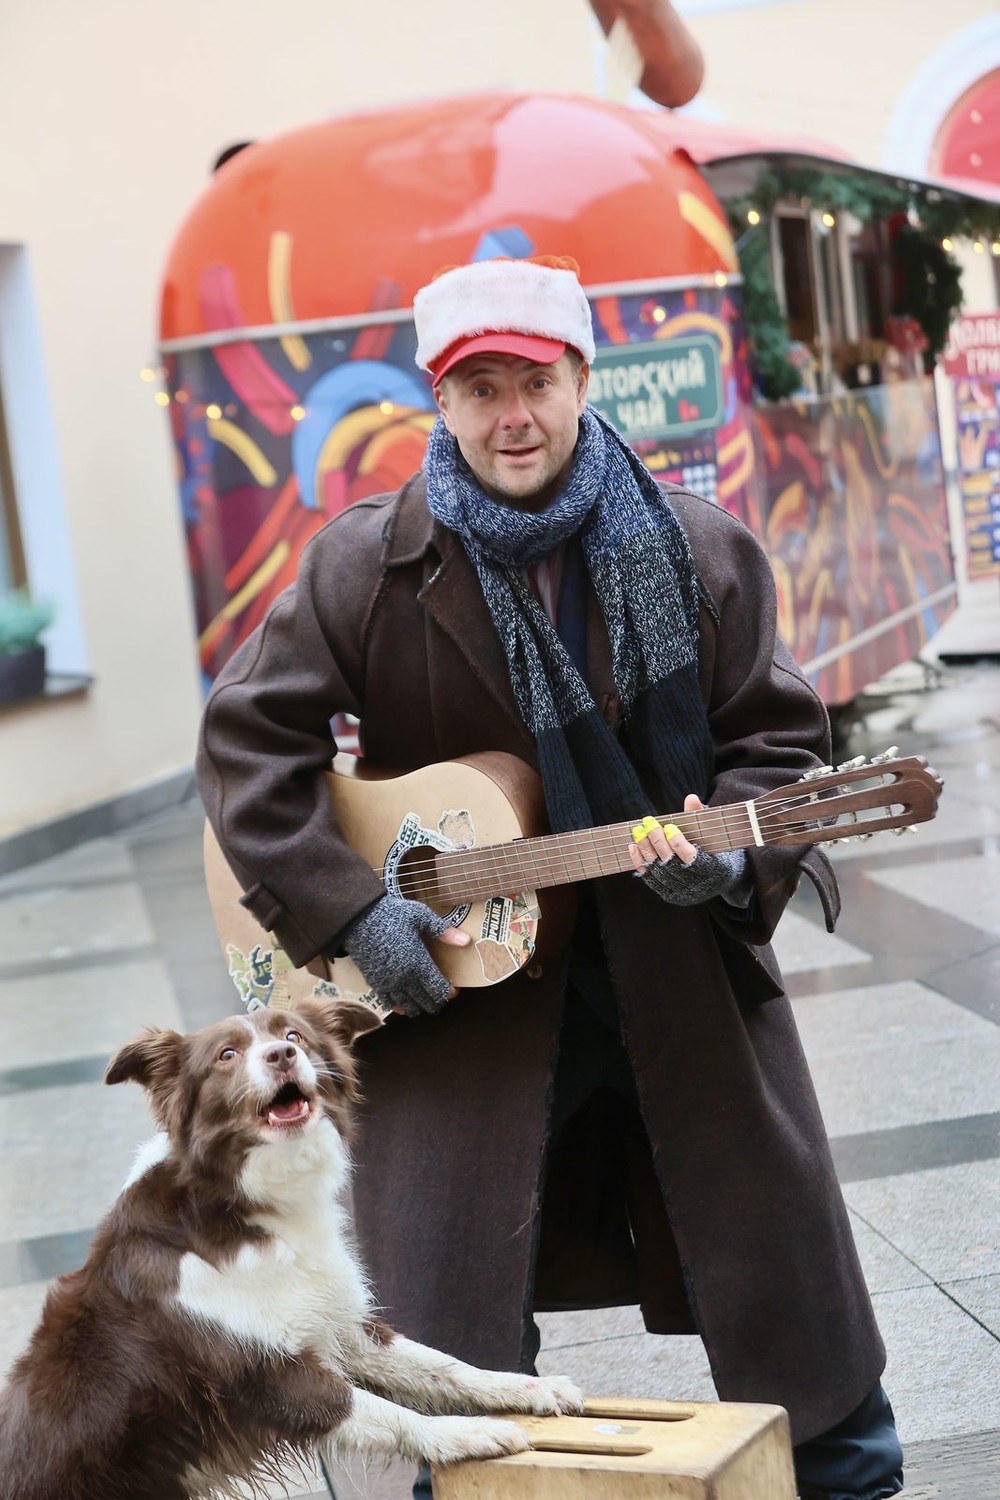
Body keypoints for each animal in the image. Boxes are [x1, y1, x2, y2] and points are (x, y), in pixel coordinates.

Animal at [0, 996, 587, 1500]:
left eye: (294, 1036)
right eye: (227, 1055)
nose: (282, 1056)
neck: (240, 1203)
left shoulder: (342, 1324)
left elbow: (443, 1366)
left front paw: (526, 1389)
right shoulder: (267, 1374)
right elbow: (381, 1411)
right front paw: (462, 1436)